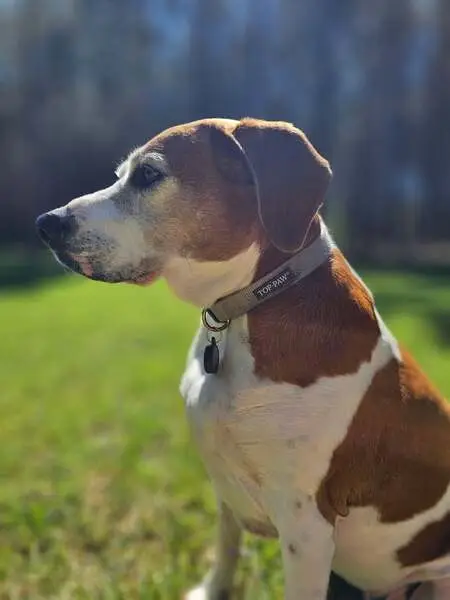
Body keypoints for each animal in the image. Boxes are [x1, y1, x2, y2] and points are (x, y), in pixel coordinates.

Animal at [36, 118, 450, 600]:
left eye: (148, 175)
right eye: (122, 174)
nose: (46, 223)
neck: (246, 310)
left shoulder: (306, 528)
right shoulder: (226, 491)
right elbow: (227, 548)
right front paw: (211, 590)